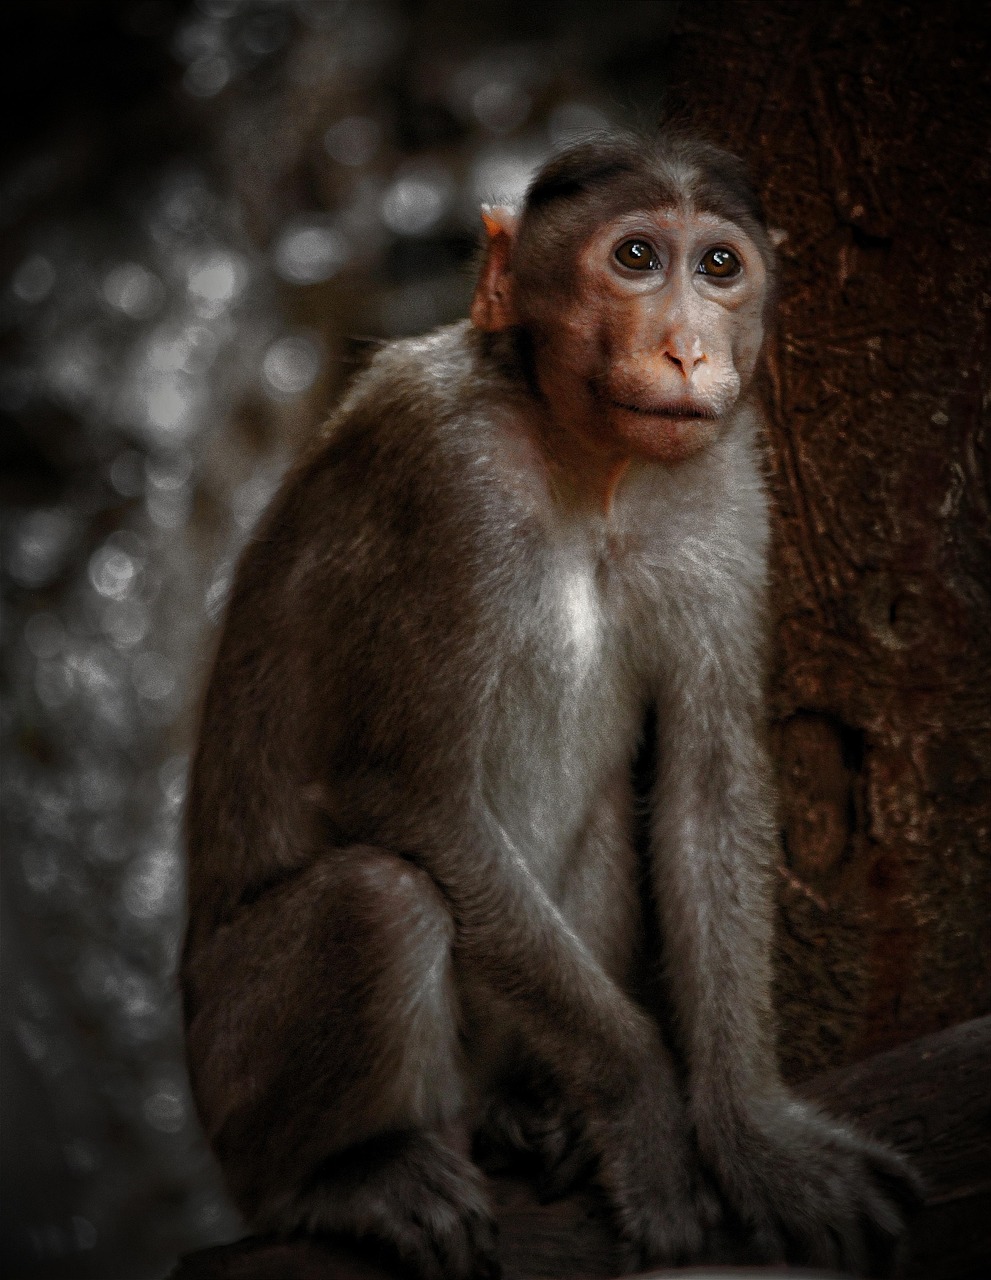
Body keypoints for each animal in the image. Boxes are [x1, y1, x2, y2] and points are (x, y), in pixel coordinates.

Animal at [181, 132, 919, 1280]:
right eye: (635, 257)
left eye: (718, 266)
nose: (686, 351)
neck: (589, 464)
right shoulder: (442, 477)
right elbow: (411, 796)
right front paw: (645, 1104)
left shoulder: (728, 488)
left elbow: (706, 787)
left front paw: (755, 1130)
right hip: (229, 1074)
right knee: (379, 898)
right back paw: (343, 1177)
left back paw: (528, 1113)